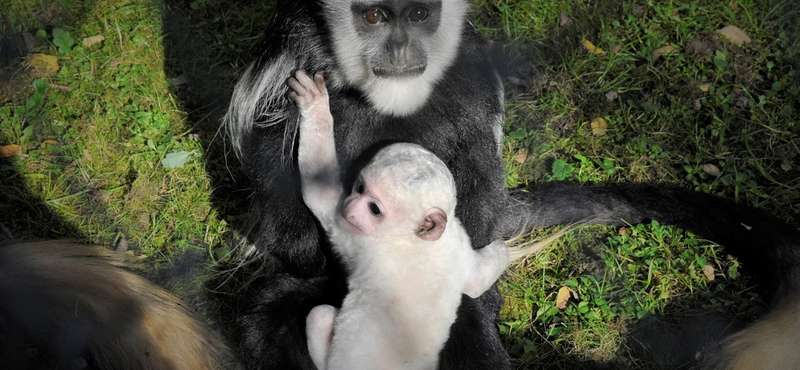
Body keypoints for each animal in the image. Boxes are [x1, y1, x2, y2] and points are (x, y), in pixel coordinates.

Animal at [290, 70, 510, 370]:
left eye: (374, 208)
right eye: (359, 188)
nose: (349, 208)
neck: (415, 239)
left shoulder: (364, 238)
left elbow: (318, 195)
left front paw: (315, 107)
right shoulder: (457, 243)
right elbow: (475, 282)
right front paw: (503, 249)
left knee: (319, 314)